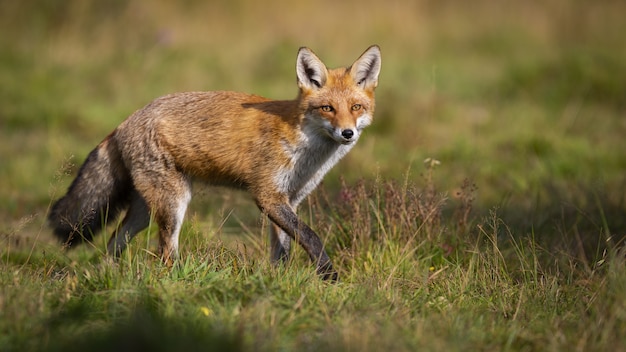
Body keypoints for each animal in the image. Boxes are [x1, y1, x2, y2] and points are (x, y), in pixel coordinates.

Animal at [48, 44, 380, 280]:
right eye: (327, 108)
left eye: (356, 107)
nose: (347, 133)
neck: (304, 145)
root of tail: (125, 121)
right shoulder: (267, 196)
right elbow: (311, 236)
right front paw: (329, 276)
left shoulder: (290, 199)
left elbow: (282, 251)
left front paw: (279, 283)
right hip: (174, 204)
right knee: (164, 254)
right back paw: (175, 282)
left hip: (145, 211)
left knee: (113, 243)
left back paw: (110, 279)